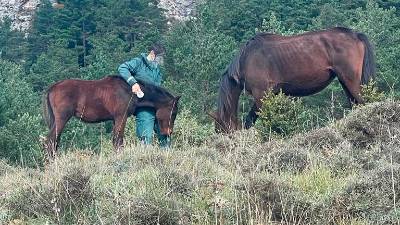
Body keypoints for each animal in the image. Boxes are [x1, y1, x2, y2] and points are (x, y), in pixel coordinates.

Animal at [42, 75, 180, 156]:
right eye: (173, 112)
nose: (168, 132)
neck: (131, 91)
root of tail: (52, 88)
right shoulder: (121, 117)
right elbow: (119, 140)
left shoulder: (115, 119)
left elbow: (115, 139)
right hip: (62, 118)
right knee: (51, 140)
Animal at [211, 26, 376, 133]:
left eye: (220, 129)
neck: (246, 59)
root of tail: (355, 34)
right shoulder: (272, 95)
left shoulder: (261, 94)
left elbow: (255, 119)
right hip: (345, 83)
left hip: (351, 81)